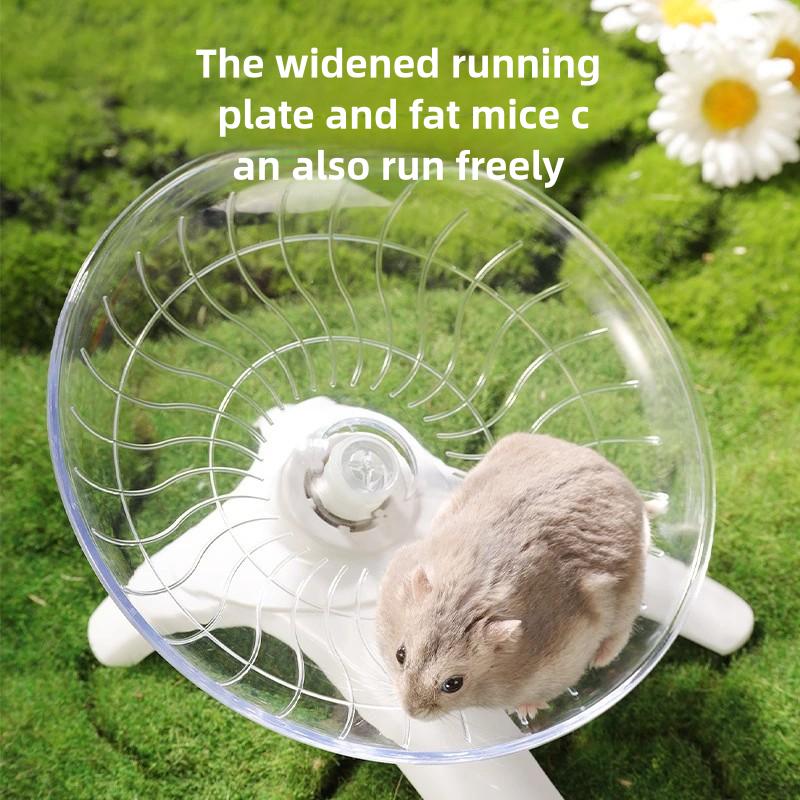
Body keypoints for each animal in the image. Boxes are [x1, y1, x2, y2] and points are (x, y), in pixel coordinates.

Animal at [376, 432, 651, 721]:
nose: (410, 713)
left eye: (453, 684)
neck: (466, 601)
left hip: (630, 594)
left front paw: (527, 712)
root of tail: (627, 484)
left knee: (622, 632)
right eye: (400, 654)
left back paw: (600, 661)